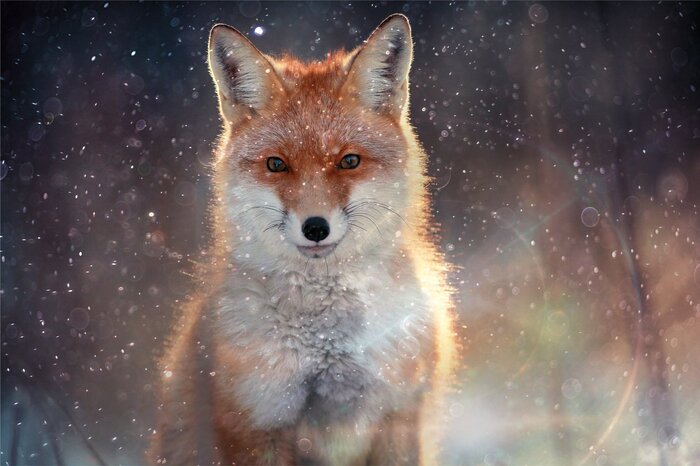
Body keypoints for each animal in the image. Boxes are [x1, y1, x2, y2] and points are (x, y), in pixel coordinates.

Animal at [148, 14, 457, 466]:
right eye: (277, 165)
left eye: (349, 161)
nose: (315, 228)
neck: (328, 344)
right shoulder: (257, 419)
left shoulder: (399, 415)